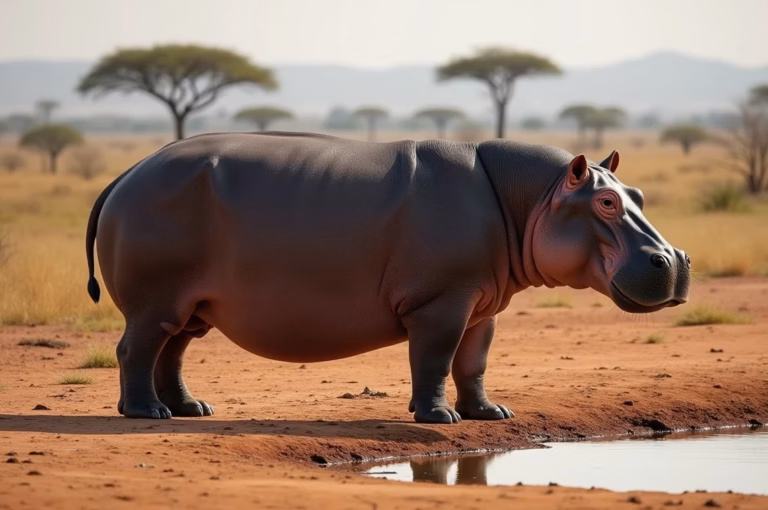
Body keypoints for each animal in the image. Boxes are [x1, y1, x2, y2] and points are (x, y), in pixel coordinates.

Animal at [85, 133, 690, 423]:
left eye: (637, 194)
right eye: (606, 202)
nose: (676, 259)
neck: (536, 195)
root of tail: (127, 173)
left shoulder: (483, 303)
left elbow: (473, 362)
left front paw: (490, 414)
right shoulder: (441, 301)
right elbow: (435, 359)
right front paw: (440, 419)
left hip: (191, 304)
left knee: (173, 349)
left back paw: (190, 410)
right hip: (157, 297)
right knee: (137, 346)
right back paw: (146, 414)